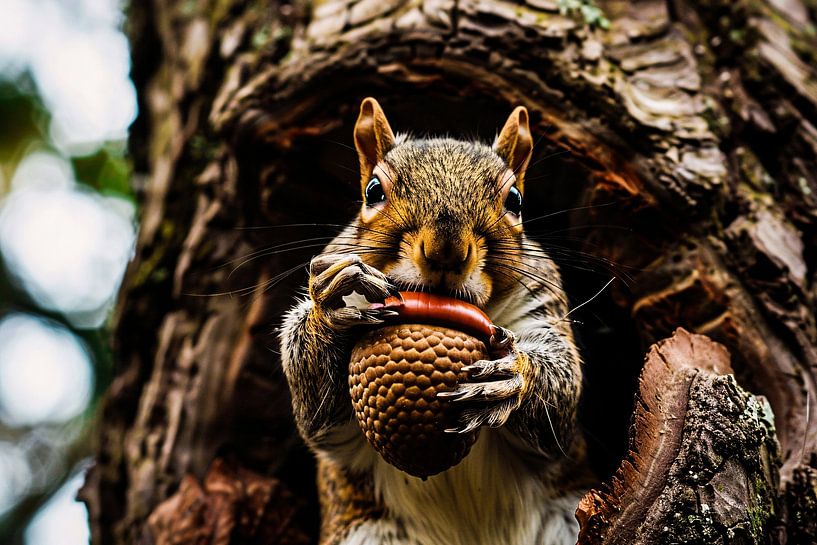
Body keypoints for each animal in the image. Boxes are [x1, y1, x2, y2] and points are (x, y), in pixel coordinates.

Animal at [279, 98, 591, 545]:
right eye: (373, 192)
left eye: (515, 200)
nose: (446, 250)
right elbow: (316, 420)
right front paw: (330, 310)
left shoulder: (541, 301)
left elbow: (561, 401)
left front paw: (515, 374)